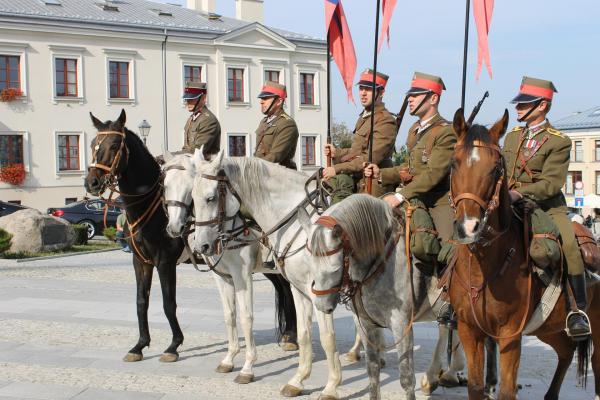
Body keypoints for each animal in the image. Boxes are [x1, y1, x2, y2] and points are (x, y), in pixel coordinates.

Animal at [163, 151, 296, 384]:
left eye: (210, 197)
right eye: (166, 186)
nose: (174, 228)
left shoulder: (242, 276)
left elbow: (246, 316)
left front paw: (248, 367)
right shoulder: (222, 276)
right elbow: (229, 314)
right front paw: (229, 359)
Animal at [448, 108, 596, 398]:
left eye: (496, 168)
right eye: (454, 163)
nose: (468, 227)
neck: (483, 268)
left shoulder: (509, 335)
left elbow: (506, 390)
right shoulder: (469, 330)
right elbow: (475, 387)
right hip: (548, 328)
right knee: (566, 350)